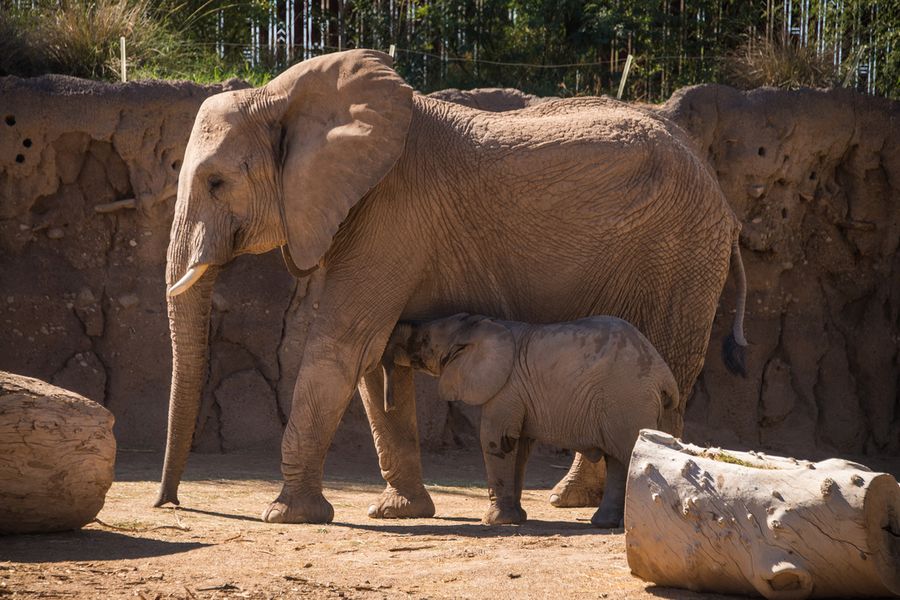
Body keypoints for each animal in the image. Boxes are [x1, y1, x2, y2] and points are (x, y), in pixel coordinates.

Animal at [382, 314, 684, 524]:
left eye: (423, 341)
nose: (389, 404)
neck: (481, 324)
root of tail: (664, 374)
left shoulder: (506, 388)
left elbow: (496, 439)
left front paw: (494, 522)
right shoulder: (519, 394)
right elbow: (520, 447)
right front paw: (516, 519)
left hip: (626, 400)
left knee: (625, 456)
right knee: (618, 461)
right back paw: (604, 523)